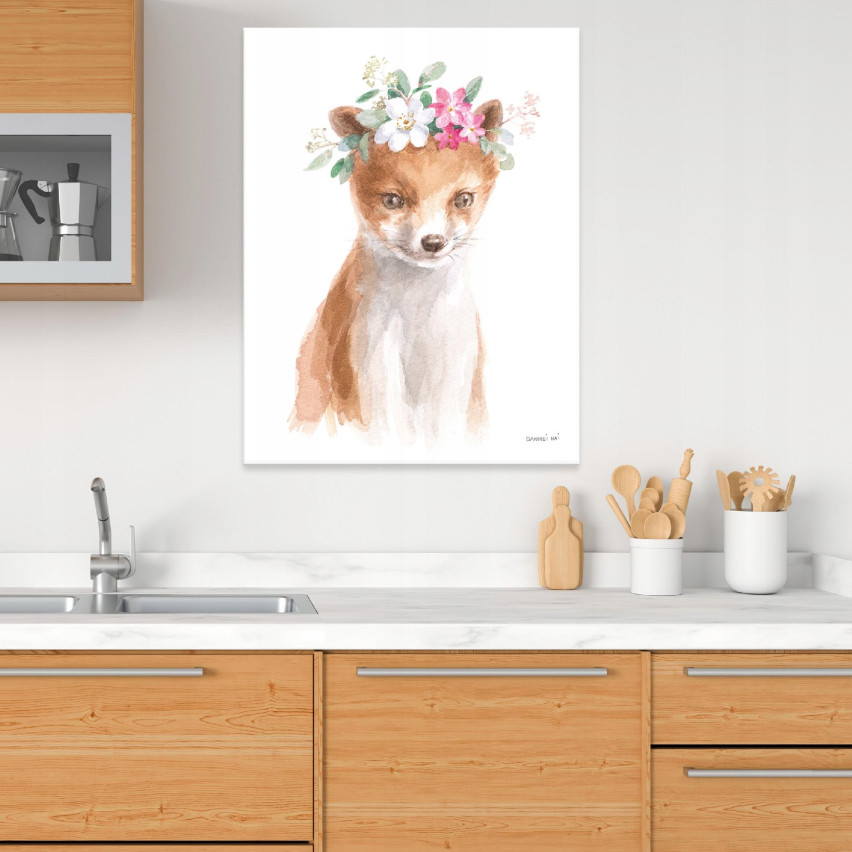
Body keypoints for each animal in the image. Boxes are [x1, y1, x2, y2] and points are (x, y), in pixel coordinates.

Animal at [289, 98, 504, 444]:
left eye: (463, 199)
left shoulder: (455, 377)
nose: (433, 242)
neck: (417, 323)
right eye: (392, 200)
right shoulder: (369, 378)